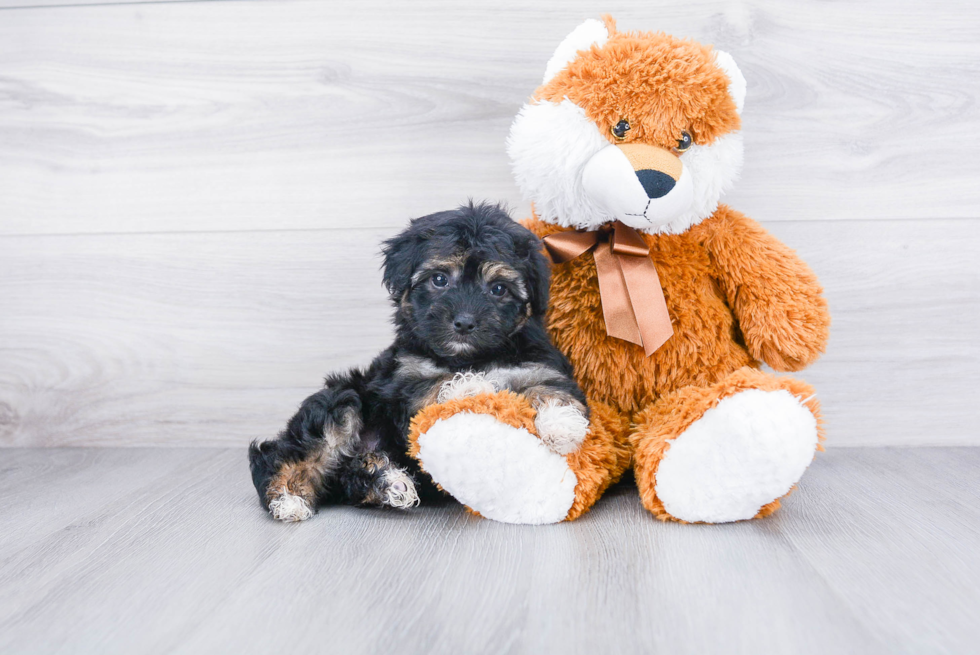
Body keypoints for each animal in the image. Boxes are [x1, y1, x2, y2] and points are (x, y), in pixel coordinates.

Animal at [251, 205, 588, 524]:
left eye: (498, 289)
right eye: (439, 279)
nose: (464, 322)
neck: (472, 356)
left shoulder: (539, 366)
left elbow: (554, 389)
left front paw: (563, 425)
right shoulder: (402, 381)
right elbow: (433, 385)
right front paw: (471, 386)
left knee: (350, 478)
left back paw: (388, 484)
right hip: (342, 400)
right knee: (294, 451)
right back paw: (289, 499)